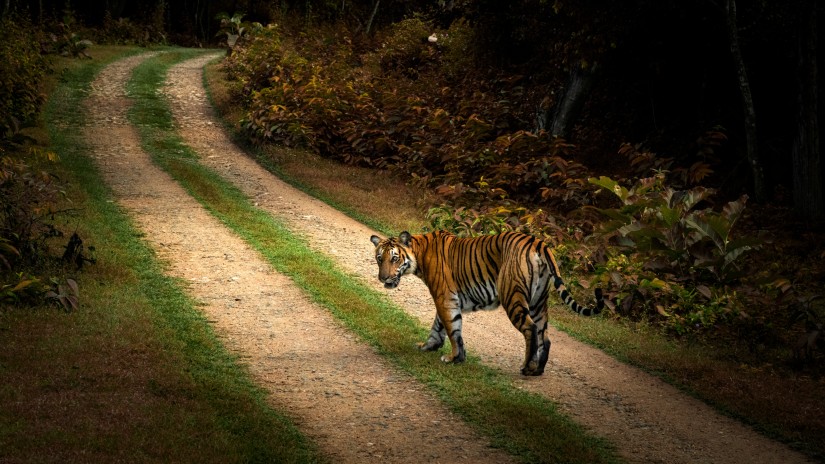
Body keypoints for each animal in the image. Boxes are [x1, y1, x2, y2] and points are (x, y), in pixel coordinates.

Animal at [370, 230, 600, 376]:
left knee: (531, 329)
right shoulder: (446, 298)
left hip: (513, 296)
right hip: (538, 302)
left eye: (394, 259)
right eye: (379, 258)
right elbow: (438, 326)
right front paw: (428, 346)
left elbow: (452, 329)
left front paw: (454, 358)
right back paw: (538, 370)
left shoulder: (445, 298)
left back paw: (527, 368)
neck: (420, 254)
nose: (383, 279)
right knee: (546, 336)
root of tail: (538, 242)